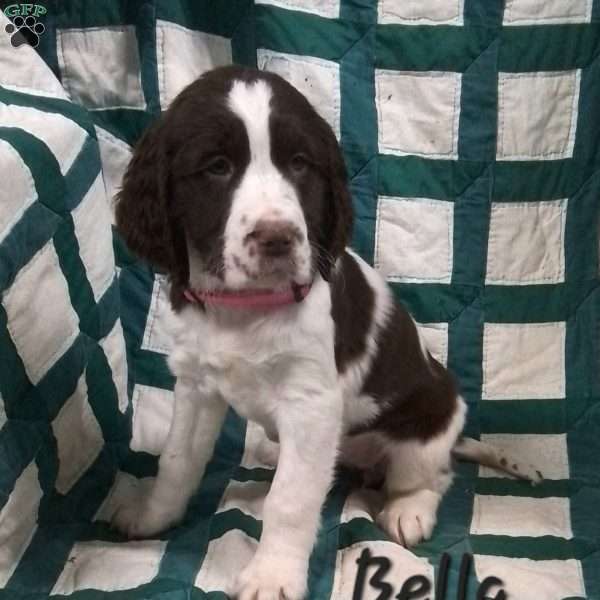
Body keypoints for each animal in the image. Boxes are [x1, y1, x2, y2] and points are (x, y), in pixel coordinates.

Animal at [113, 65, 544, 600]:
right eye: (216, 167)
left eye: (300, 165)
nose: (277, 239)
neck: (244, 309)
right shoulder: (195, 385)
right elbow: (177, 460)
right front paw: (153, 517)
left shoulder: (310, 402)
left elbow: (290, 499)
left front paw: (272, 575)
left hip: (426, 425)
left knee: (432, 475)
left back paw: (409, 508)